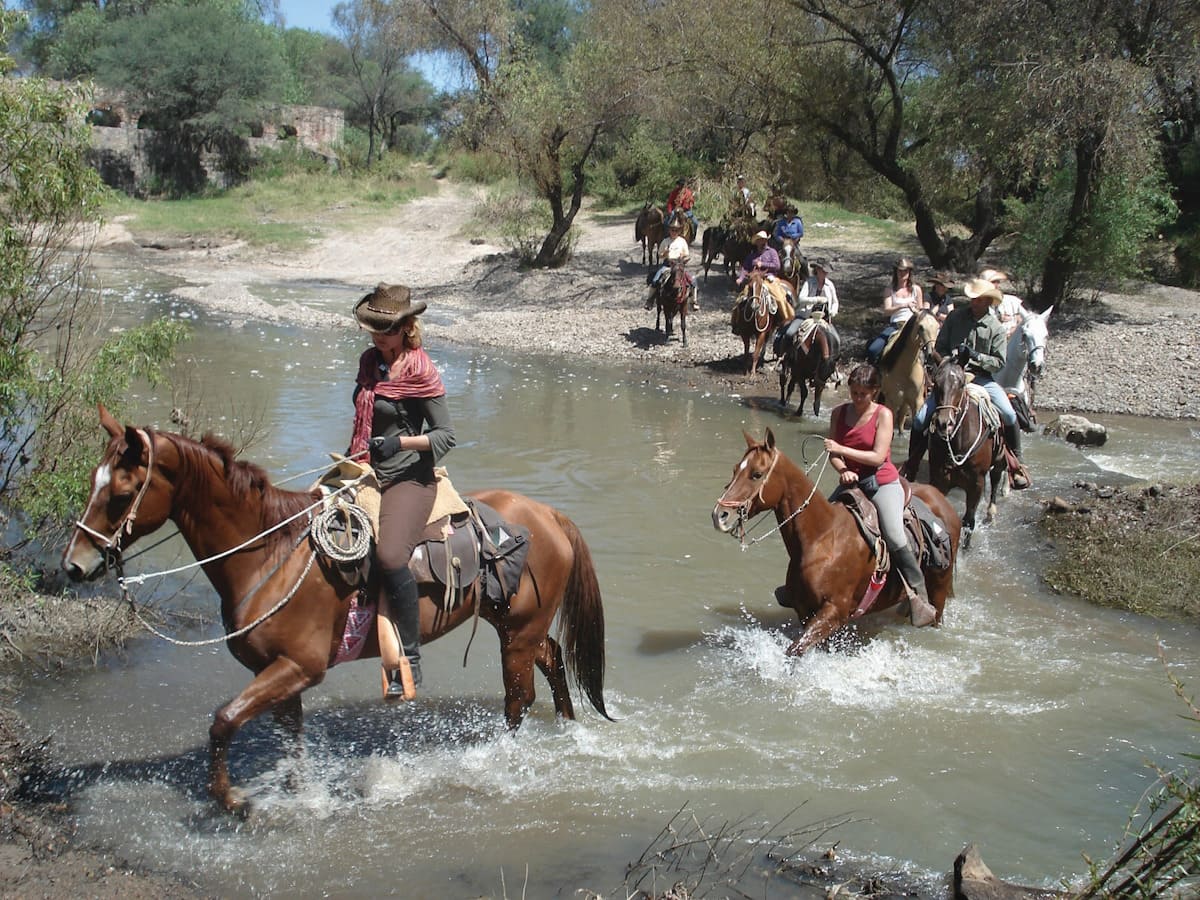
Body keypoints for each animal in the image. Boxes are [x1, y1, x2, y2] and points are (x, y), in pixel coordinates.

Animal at [62, 408, 609, 816]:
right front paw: (301, 797)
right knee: (554, 660)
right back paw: (569, 730)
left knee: (518, 698)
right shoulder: (278, 673)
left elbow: (223, 720)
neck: (270, 555)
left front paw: (231, 800)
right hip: (515, 625)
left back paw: (495, 761)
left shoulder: (299, 667)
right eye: (93, 481)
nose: (74, 564)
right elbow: (291, 742)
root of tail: (549, 515)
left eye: (121, 494)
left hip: (517, 632)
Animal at [705, 429, 960, 657]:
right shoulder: (805, 611)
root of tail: (944, 502)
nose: (720, 515)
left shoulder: (834, 612)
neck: (822, 539)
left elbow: (795, 649)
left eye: (756, 474)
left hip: (939, 589)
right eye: (735, 469)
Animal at [926, 362, 1003, 549]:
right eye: (936, 383)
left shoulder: (976, 484)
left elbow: (969, 522)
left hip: (998, 460)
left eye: (961, 385)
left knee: (996, 478)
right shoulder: (940, 480)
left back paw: (991, 513)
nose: (944, 423)